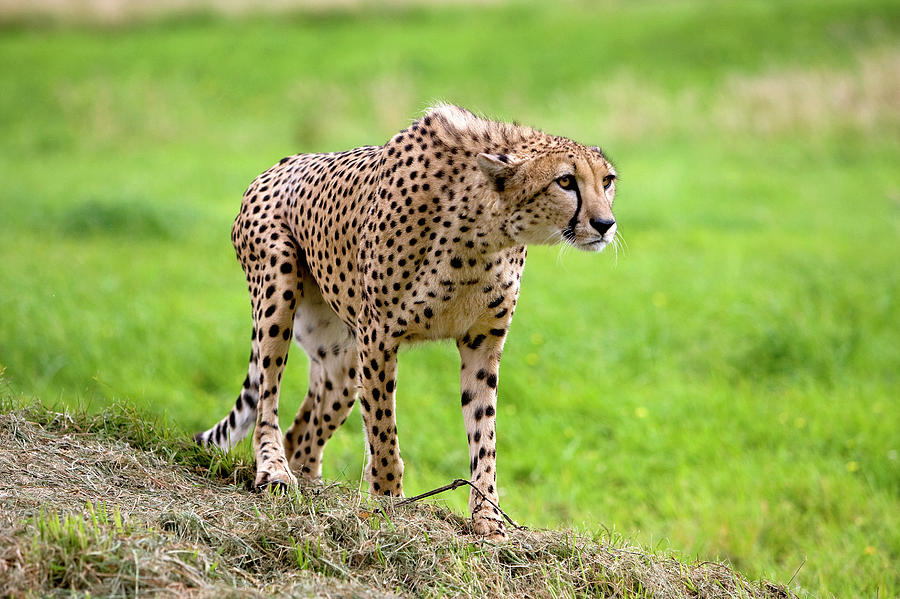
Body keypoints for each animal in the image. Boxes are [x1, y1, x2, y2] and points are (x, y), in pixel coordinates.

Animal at [197, 105, 620, 540]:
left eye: (607, 181)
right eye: (566, 181)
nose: (606, 224)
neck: (484, 229)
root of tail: (280, 164)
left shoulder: (482, 341)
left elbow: (484, 434)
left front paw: (488, 520)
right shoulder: (379, 335)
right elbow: (384, 431)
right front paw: (388, 504)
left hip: (342, 361)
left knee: (304, 429)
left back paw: (313, 487)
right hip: (278, 289)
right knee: (268, 398)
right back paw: (275, 471)